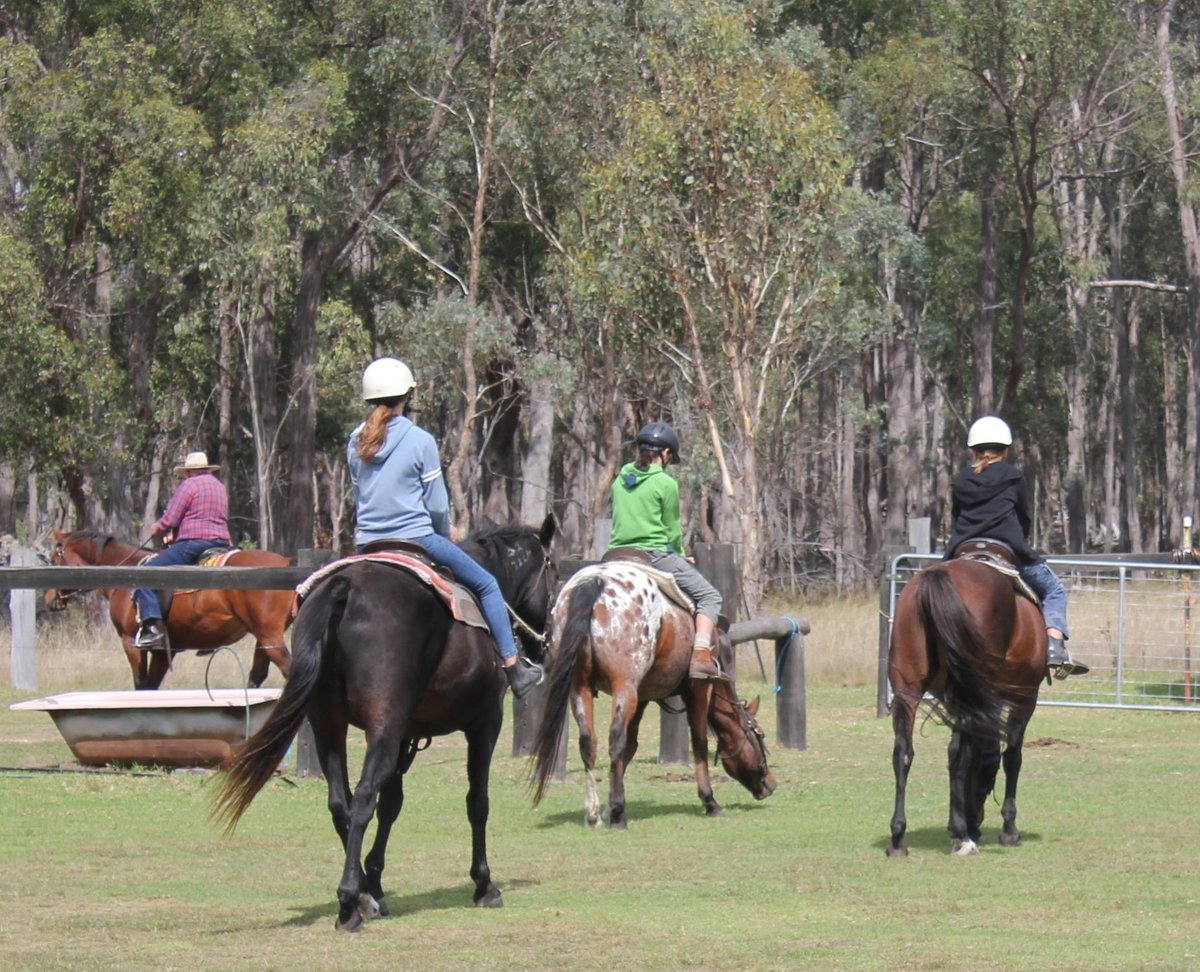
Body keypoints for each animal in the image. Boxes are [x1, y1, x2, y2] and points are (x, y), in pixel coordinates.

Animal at [46, 525, 292, 686]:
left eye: (55, 557)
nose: (49, 598)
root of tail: (286, 562)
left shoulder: (131, 642)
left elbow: (141, 686)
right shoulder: (164, 652)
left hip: (269, 637)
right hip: (263, 639)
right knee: (257, 677)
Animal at [212, 518, 556, 926]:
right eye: (552, 571)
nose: (544, 641)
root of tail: (345, 588)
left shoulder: (405, 733)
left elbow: (392, 804)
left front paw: (375, 883)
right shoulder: (484, 724)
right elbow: (477, 802)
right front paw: (484, 884)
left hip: (329, 724)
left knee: (340, 802)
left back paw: (362, 896)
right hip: (382, 727)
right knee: (362, 797)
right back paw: (349, 901)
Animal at [888, 544, 1046, 854]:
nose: (978, 819)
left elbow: (954, 752)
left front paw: (956, 823)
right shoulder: (1025, 697)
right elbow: (1011, 756)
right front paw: (1007, 830)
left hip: (908, 689)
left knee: (903, 752)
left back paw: (899, 837)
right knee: (965, 755)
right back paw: (965, 835)